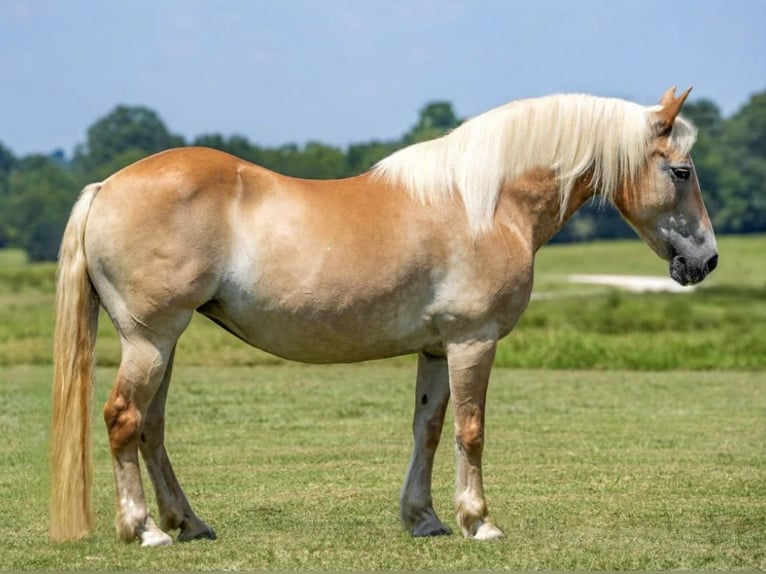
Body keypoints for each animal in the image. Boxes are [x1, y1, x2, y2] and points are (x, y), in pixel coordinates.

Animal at [52, 88, 720, 548]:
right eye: (681, 171)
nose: (707, 260)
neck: (486, 204)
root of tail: (105, 187)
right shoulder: (473, 341)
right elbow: (471, 430)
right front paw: (479, 521)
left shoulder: (438, 349)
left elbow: (429, 429)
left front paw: (424, 519)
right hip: (150, 339)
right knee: (123, 419)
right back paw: (144, 530)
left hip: (164, 343)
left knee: (151, 428)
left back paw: (187, 523)